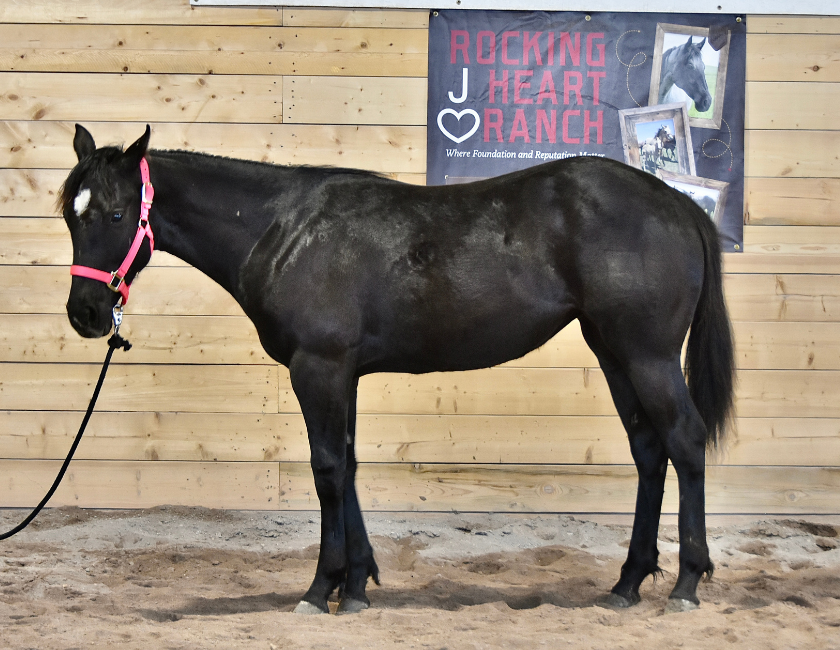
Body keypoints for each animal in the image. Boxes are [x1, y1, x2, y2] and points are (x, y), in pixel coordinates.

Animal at [60, 125, 734, 615]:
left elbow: (328, 470)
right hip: (613, 352)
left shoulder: (319, 368)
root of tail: (678, 204)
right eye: (71, 214)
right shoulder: (344, 374)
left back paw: (685, 585)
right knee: (649, 451)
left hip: (646, 355)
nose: (86, 312)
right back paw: (627, 584)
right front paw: (357, 585)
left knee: (684, 441)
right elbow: (350, 464)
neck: (282, 230)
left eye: (116, 215)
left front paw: (321, 588)